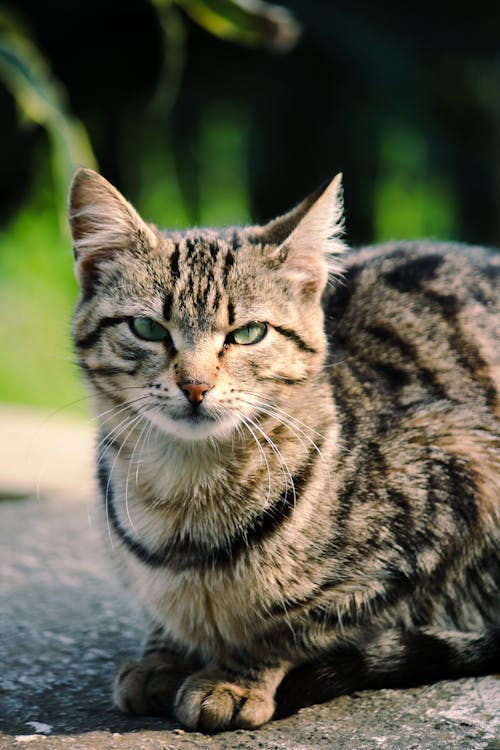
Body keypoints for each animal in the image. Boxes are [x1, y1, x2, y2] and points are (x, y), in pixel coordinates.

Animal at [67, 166, 500, 736]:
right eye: (147, 329)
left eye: (249, 333)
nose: (195, 385)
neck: (188, 492)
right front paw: (162, 655)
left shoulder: (461, 480)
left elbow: (294, 624)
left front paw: (235, 677)